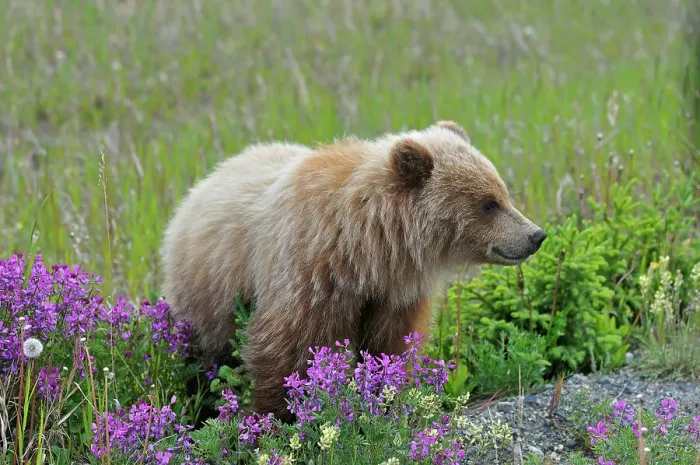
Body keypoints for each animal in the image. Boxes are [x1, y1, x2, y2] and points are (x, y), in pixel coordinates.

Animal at [160, 120, 547, 422]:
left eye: (502, 193)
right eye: (488, 204)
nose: (535, 235)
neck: (367, 249)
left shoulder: (395, 294)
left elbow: (391, 347)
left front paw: (386, 400)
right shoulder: (311, 273)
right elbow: (286, 351)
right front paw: (275, 416)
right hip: (209, 286)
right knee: (207, 351)